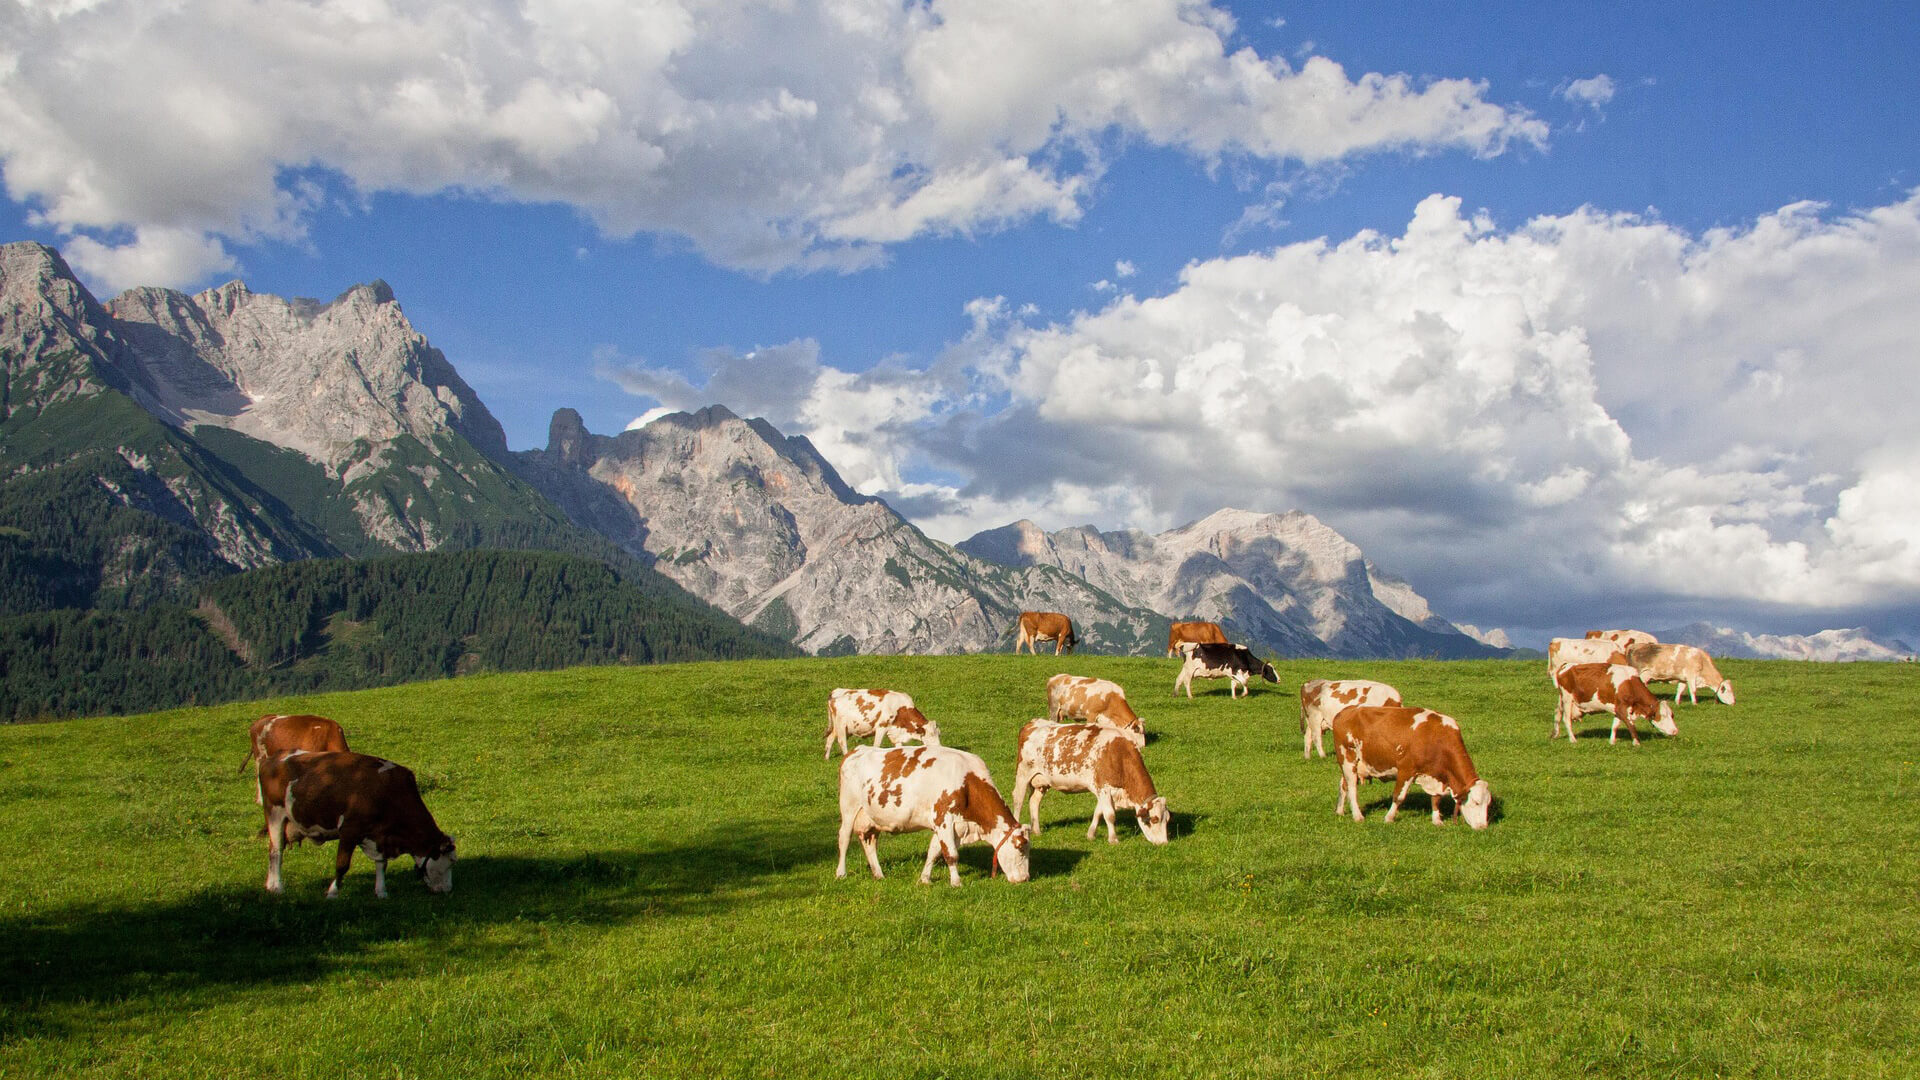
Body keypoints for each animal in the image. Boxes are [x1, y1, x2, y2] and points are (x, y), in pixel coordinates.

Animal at [258, 750, 456, 899]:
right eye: (448, 863)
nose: (447, 890)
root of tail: (273, 758)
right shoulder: (349, 830)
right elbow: (342, 864)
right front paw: (333, 892)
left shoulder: (379, 836)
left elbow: (381, 863)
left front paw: (381, 891)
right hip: (275, 814)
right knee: (276, 851)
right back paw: (277, 887)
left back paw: (269, 884)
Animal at [835, 745, 1031, 886]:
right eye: (1021, 848)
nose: (1025, 878)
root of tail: (856, 750)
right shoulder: (944, 819)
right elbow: (951, 854)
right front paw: (956, 883)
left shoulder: (951, 825)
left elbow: (934, 851)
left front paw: (925, 879)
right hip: (849, 807)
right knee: (844, 838)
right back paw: (841, 873)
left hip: (872, 817)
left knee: (869, 841)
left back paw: (878, 874)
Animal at [1010, 720, 1170, 845]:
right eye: (1154, 820)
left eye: (1167, 820)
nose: (1164, 843)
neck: (1119, 754)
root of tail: (1032, 724)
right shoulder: (1104, 787)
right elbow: (1109, 814)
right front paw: (1113, 839)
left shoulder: (1104, 790)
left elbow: (1098, 812)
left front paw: (1091, 834)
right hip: (1023, 773)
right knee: (1018, 800)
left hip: (1042, 781)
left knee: (1034, 801)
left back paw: (1037, 831)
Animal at [1332, 706, 1492, 829]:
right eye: (1476, 802)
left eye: (1488, 804)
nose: (1483, 827)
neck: (1435, 738)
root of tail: (1346, 711)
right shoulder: (1406, 769)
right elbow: (1399, 796)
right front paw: (1389, 818)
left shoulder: (1436, 775)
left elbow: (1436, 798)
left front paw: (1437, 820)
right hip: (1347, 758)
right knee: (1352, 787)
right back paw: (1357, 815)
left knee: (1343, 784)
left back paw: (1340, 811)